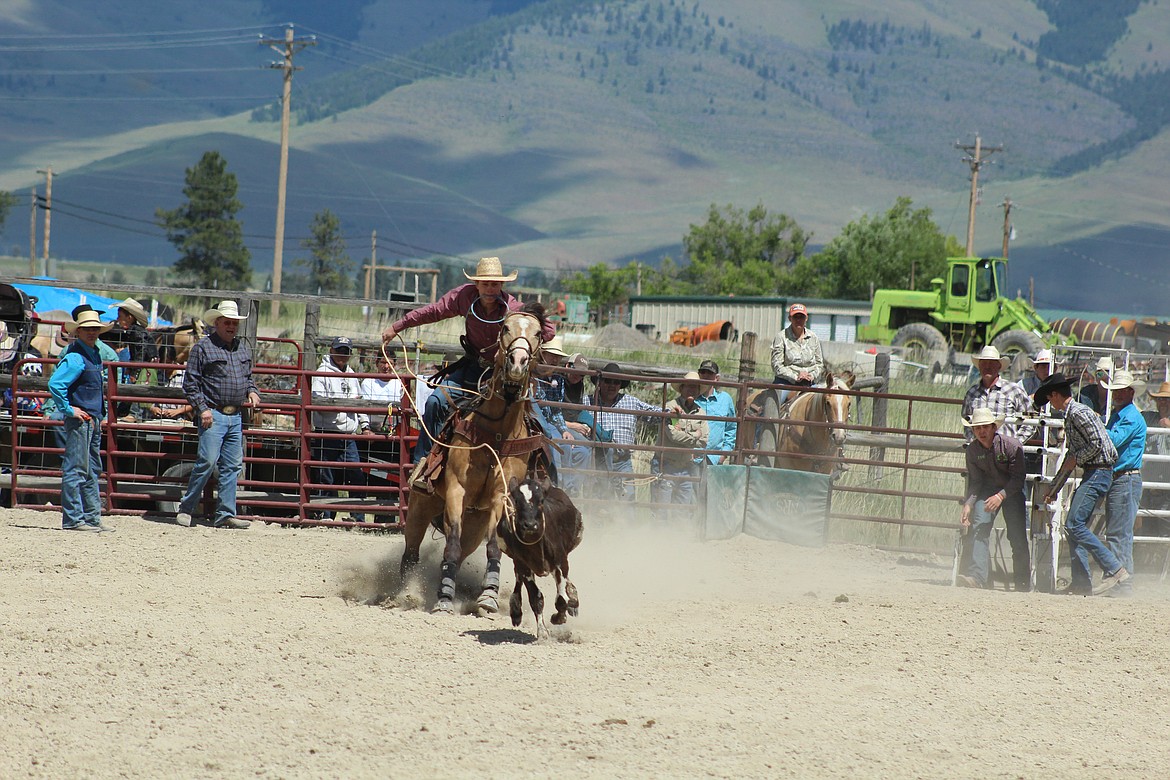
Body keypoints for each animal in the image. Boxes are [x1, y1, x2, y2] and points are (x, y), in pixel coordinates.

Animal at [402, 306, 547, 617]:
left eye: (539, 333)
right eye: (505, 328)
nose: (518, 363)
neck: (497, 432)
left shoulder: (500, 497)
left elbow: (492, 547)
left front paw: (488, 596)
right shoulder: (457, 491)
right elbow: (451, 546)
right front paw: (444, 599)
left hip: (475, 524)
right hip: (421, 508)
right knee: (411, 552)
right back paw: (406, 590)